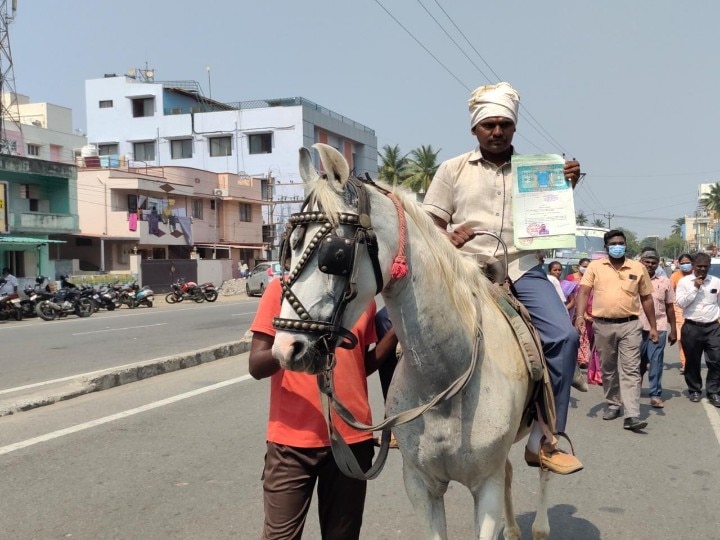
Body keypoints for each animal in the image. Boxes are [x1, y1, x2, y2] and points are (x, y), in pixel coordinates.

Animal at [270, 143, 552, 540]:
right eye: (287, 249)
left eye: (335, 254)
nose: (287, 349)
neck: (448, 374)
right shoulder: (420, 485)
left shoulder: (486, 486)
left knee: (542, 467)